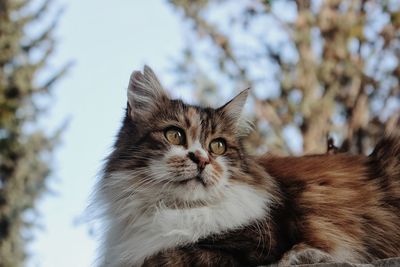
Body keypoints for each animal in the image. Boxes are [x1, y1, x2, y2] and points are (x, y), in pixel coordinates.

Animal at [92, 65, 400, 267]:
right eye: (174, 135)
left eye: (217, 146)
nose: (202, 159)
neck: (178, 211)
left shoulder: (258, 246)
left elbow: (166, 255)